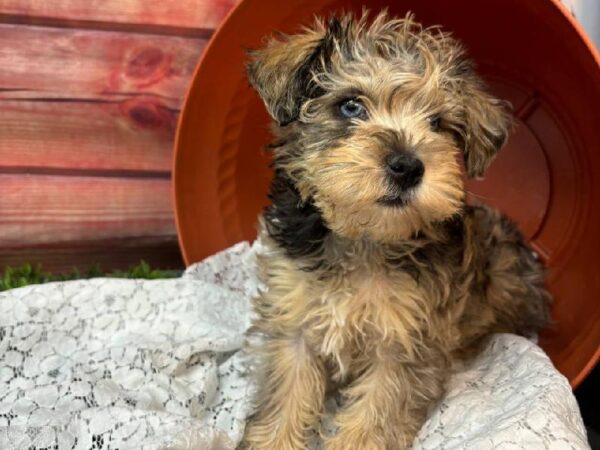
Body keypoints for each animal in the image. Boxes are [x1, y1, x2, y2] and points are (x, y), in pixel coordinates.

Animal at [241, 11, 552, 450]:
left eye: (438, 123)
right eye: (350, 105)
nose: (407, 166)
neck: (364, 239)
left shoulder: (405, 342)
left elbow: (375, 414)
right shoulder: (293, 322)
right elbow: (286, 398)